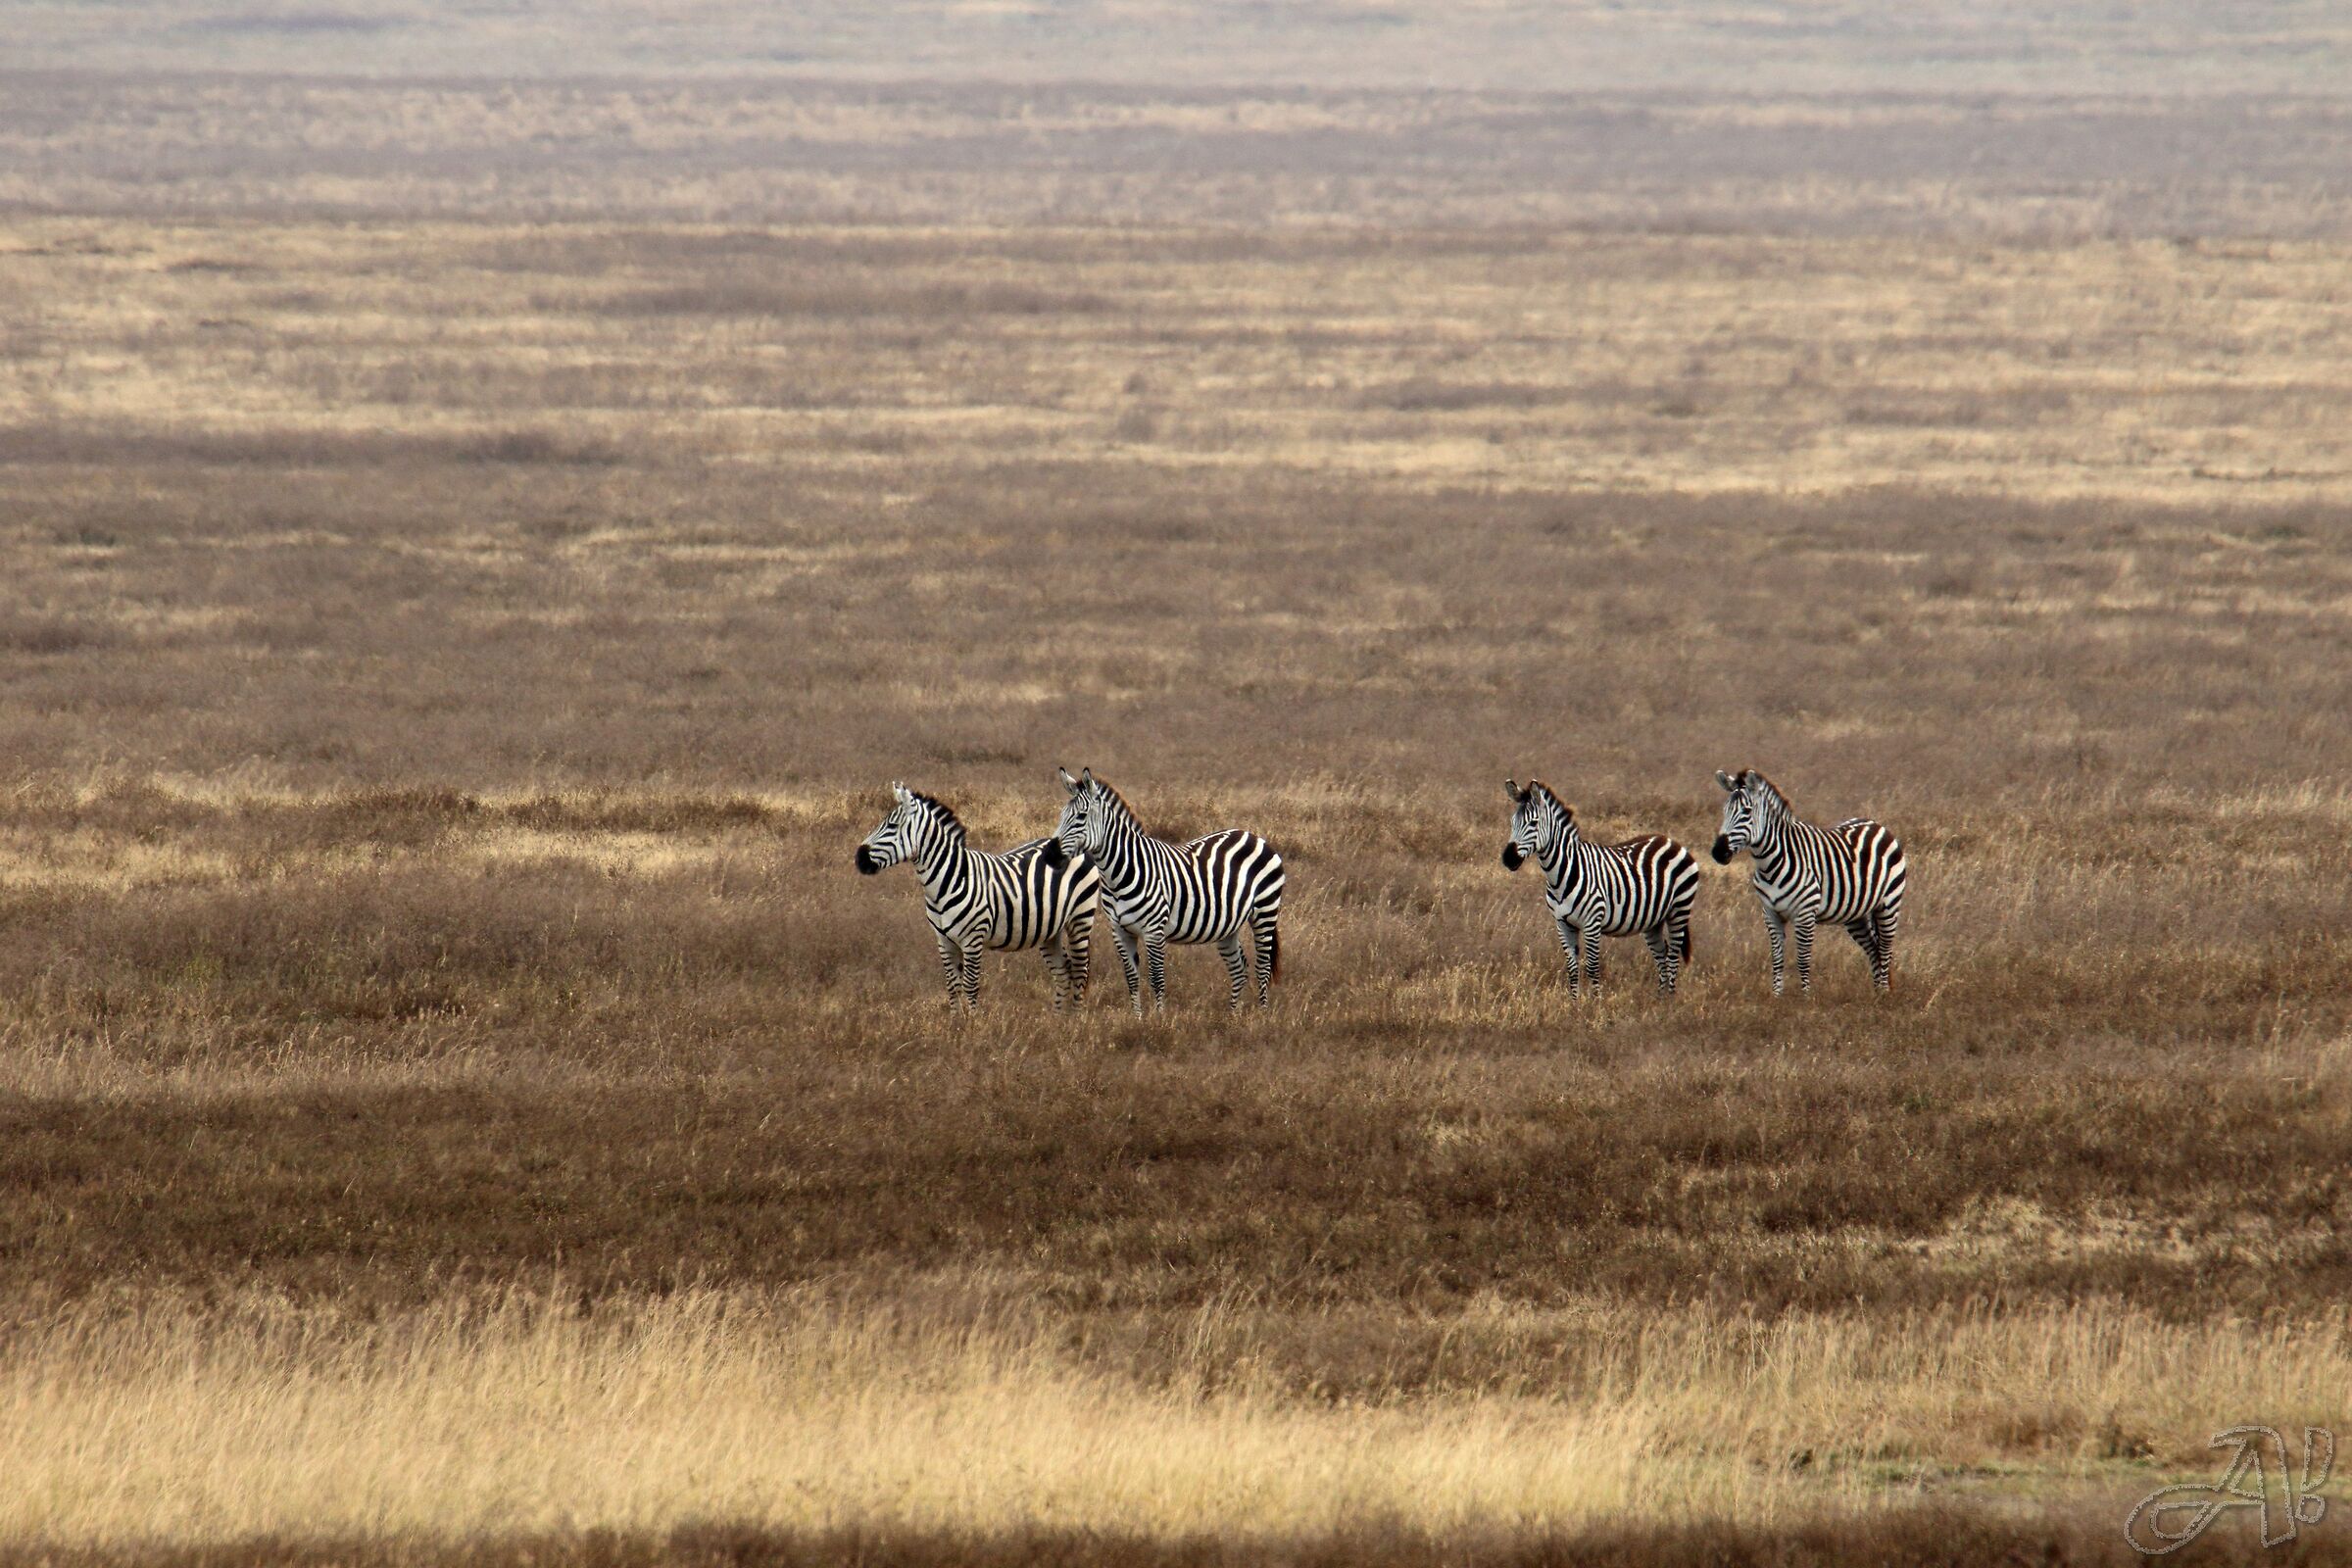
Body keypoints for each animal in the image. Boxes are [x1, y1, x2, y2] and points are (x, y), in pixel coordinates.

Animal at [855, 783, 1100, 1010]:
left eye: (892, 826)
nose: (859, 858)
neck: (948, 880)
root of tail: (1081, 849)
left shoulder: (972, 939)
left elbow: (970, 986)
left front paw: (973, 1024)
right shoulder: (944, 941)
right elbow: (952, 986)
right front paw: (956, 1023)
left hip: (1080, 919)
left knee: (1080, 971)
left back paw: (1074, 1019)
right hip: (1050, 929)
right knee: (1063, 972)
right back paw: (1058, 1020)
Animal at [1039, 767, 1283, 1013]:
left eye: (1081, 816)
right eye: (1061, 815)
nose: (1049, 855)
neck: (1120, 872)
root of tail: (1251, 835)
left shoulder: (1154, 931)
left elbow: (1157, 979)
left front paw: (1159, 1019)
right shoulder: (1120, 931)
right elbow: (1132, 978)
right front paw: (1137, 1018)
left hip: (1265, 912)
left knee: (1262, 967)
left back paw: (1262, 1015)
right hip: (1227, 925)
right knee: (1239, 968)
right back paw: (1233, 1016)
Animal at [1500, 778, 1699, 995]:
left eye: (1533, 823)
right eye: (1512, 822)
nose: (1508, 858)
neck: (1562, 875)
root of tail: (1671, 840)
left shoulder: (1592, 923)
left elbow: (1593, 967)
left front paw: (1596, 1002)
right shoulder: (1562, 924)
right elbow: (1572, 969)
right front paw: (1574, 1002)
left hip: (1679, 910)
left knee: (1672, 959)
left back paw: (1670, 1000)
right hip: (1653, 920)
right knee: (1662, 958)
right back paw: (1659, 999)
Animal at [1711, 768, 1906, 995]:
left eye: (1747, 811)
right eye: (1725, 810)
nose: (1718, 852)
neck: (1770, 863)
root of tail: (1876, 825)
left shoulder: (1804, 914)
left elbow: (1803, 960)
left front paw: (1805, 998)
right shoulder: (1770, 914)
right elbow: (1777, 959)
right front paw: (1776, 996)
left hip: (1889, 905)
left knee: (1885, 950)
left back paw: (1884, 993)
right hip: (1857, 914)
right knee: (1874, 949)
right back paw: (1876, 994)